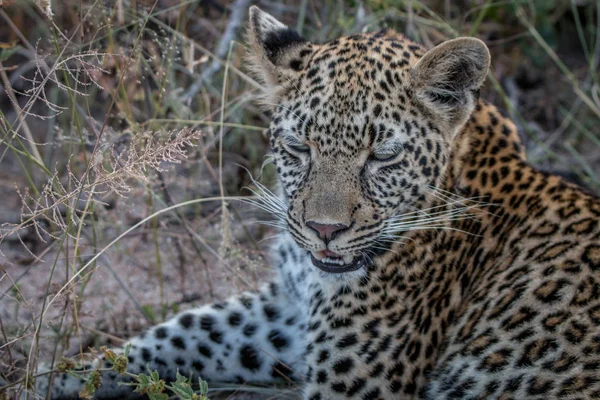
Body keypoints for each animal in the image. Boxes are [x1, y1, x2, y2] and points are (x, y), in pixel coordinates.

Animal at [34, 6, 600, 400]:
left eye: (382, 156)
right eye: (298, 147)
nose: (325, 231)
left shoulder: (354, 383)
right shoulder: (287, 309)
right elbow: (193, 329)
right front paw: (67, 373)